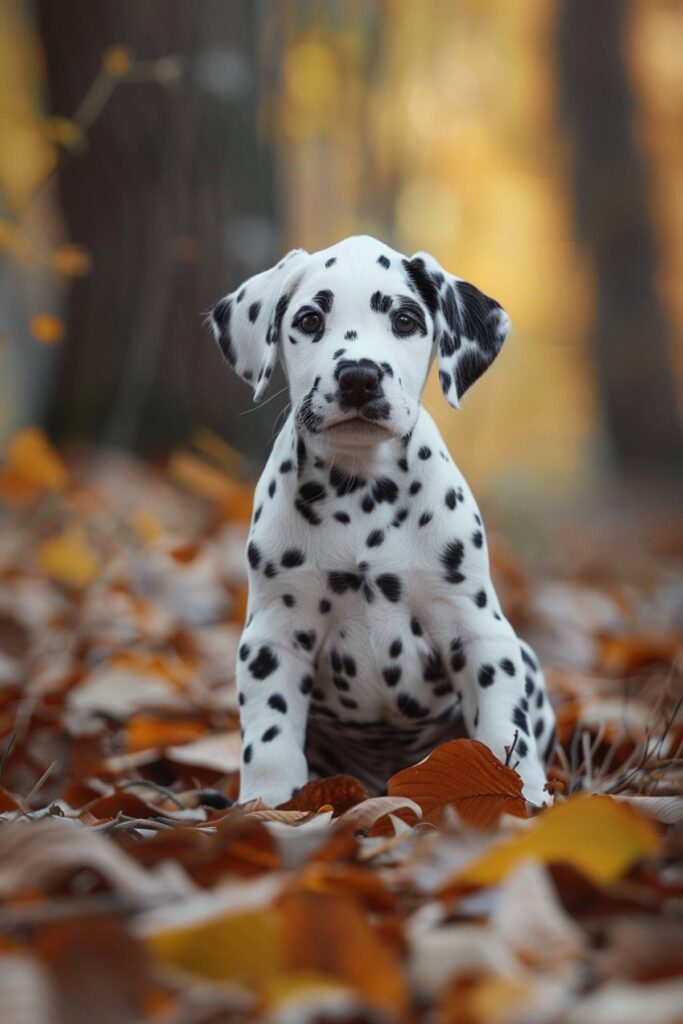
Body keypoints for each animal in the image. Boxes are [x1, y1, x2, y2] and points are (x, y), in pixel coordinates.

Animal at [208, 234, 557, 806]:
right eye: (309, 320)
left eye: (406, 320)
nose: (359, 376)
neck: (360, 492)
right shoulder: (273, 638)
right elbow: (271, 740)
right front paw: (268, 807)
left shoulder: (480, 632)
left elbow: (505, 729)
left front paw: (522, 796)